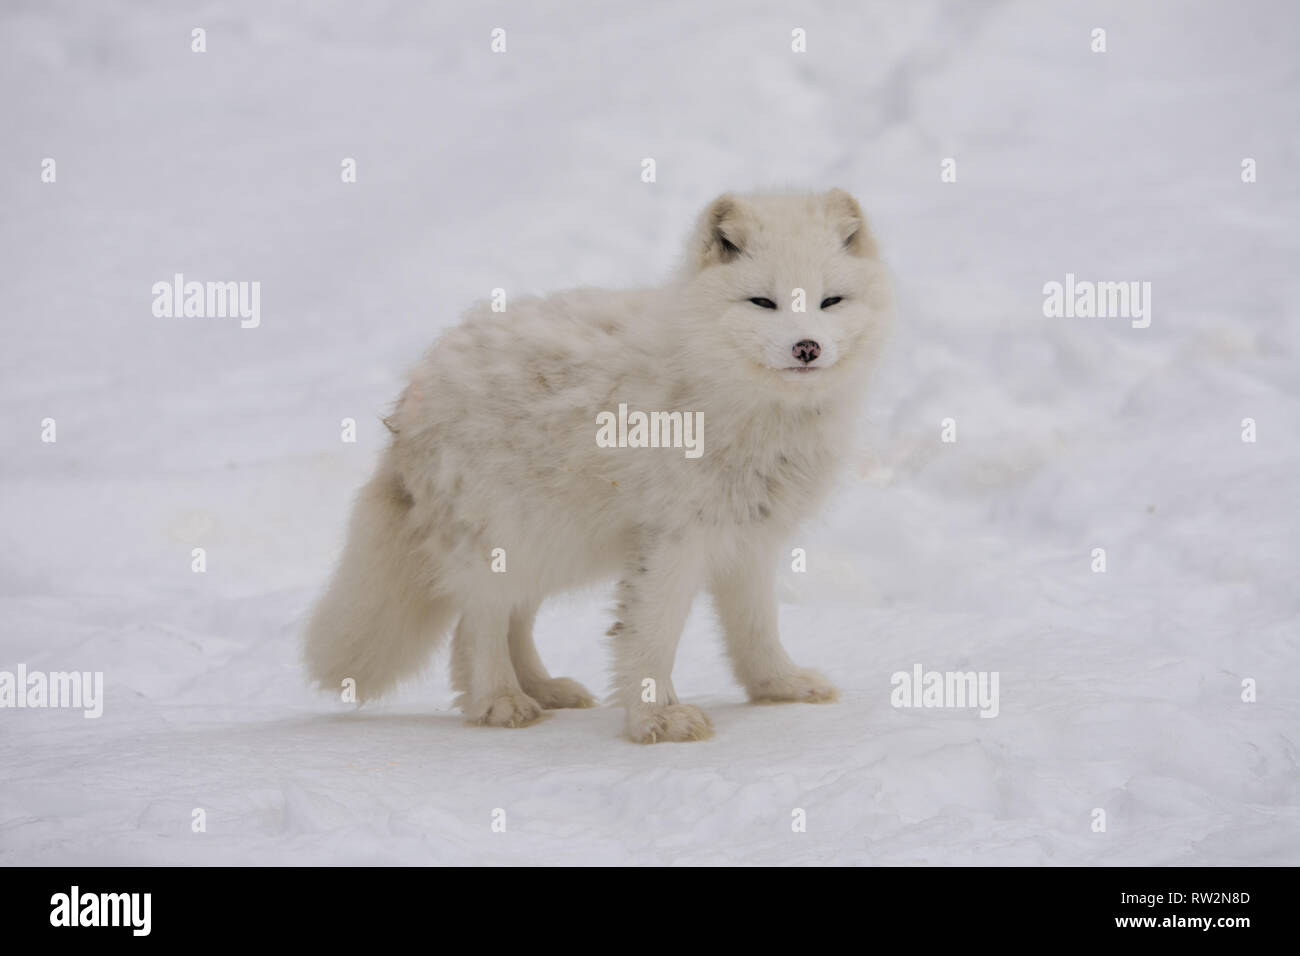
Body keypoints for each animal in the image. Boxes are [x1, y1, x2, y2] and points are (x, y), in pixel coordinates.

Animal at [304, 187, 894, 738]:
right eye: (763, 303)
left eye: (830, 301)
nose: (806, 347)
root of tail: (417, 383)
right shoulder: (675, 539)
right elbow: (651, 635)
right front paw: (658, 720)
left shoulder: (751, 539)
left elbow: (755, 630)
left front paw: (778, 688)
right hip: (503, 538)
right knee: (478, 624)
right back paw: (500, 701)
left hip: (551, 544)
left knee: (512, 619)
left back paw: (544, 689)